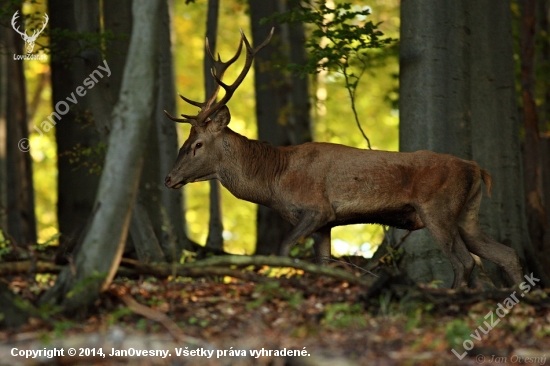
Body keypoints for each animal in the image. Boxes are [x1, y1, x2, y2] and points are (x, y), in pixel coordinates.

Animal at [165, 29, 528, 288]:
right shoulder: (327, 224)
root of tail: (476, 168)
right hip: (467, 214)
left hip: (438, 208)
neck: (274, 181)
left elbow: (284, 250)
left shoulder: (318, 208)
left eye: (197, 144)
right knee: (505, 253)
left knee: (465, 262)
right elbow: (321, 262)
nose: (168, 178)